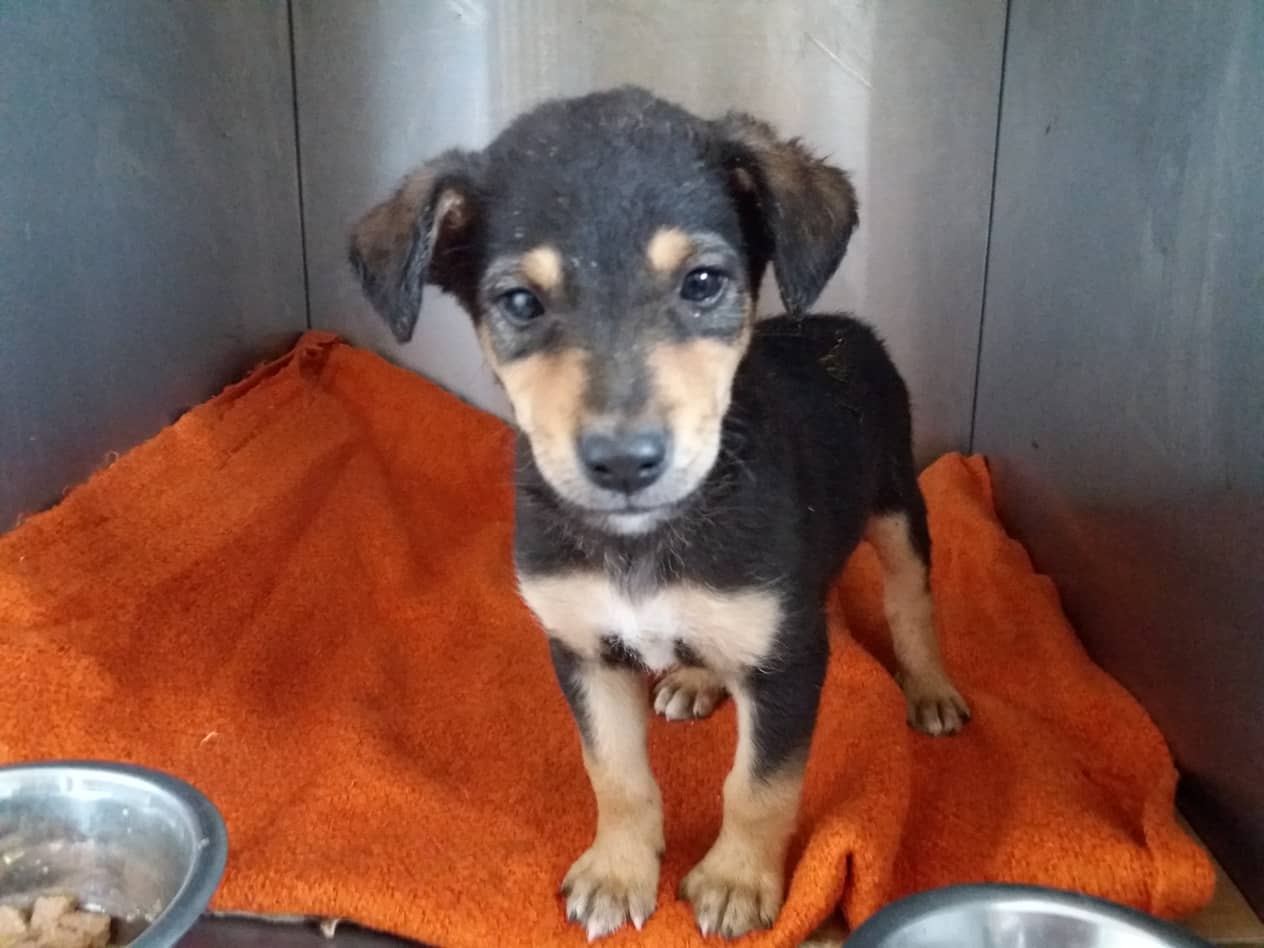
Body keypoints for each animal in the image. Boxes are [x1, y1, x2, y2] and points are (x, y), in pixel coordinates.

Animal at [346, 87, 965, 945]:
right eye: (519, 302)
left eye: (703, 282)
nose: (623, 462)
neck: (643, 539)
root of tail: (840, 326)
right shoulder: (580, 648)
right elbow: (615, 774)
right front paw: (618, 872)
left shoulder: (791, 661)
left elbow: (759, 786)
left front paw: (737, 883)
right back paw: (698, 678)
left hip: (897, 502)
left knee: (912, 600)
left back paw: (930, 688)